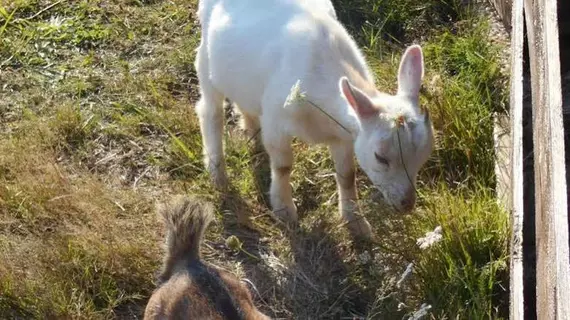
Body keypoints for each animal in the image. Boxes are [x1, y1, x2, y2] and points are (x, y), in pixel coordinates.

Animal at [193, 0, 432, 236]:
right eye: (380, 158)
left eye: (423, 156)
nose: (407, 204)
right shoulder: (276, 120)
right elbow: (283, 166)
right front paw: (284, 211)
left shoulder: (344, 136)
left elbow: (347, 175)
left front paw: (356, 223)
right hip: (205, 58)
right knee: (210, 111)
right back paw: (217, 173)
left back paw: (250, 130)